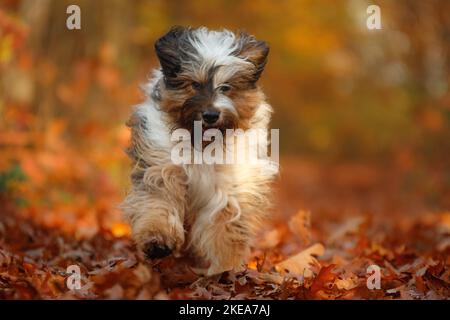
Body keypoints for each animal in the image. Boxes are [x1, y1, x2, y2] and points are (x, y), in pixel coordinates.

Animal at [122, 26, 278, 276]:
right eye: (194, 84)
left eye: (226, 87)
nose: (211, 115)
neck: (202, 145)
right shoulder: (162, 166)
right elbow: (158, 201)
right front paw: (157, 239)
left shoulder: (230, 185)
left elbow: (225, 223)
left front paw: (225, 265)